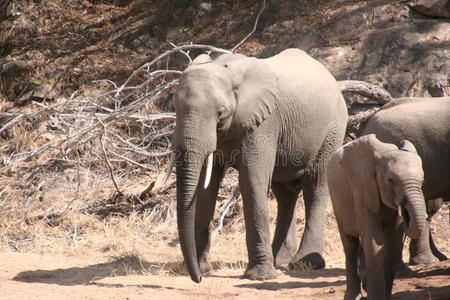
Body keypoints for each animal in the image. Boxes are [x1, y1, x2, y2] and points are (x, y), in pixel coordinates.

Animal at [172, 48, 348, 282]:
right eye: (174, 108)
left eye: (220, 113)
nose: (198, 278)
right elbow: (205, 189)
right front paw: (203, 268)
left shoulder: (264, 123)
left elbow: (251, 182)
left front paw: (259, 277)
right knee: (284, 192)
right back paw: (280, 260)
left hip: (333, 129)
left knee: (315, 187)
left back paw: (305, 264)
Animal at [326, 134, 428, 300]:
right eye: (390, 180)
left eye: (422, 181)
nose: (406, 214)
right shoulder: (362, 188)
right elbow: (375, 243)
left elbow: (393, 246)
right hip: (337, 203)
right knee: (350, 245)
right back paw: (354, 295)